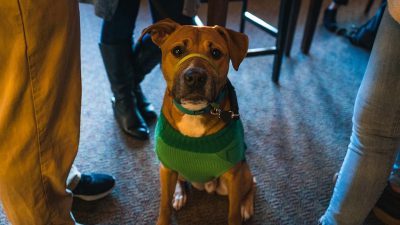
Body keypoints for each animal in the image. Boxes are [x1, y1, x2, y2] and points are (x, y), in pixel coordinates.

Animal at [142, 18, 255, 224]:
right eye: (177, 51)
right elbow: (164, 207)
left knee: (253, 184)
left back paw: (246, 206)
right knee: (180, 181)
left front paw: (240, 209)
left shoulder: (234, 176)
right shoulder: (166, 169)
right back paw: (179, 194)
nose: (195, 77)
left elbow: (233, 213)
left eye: (216, 53)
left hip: (241, 174)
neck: (193, 114)